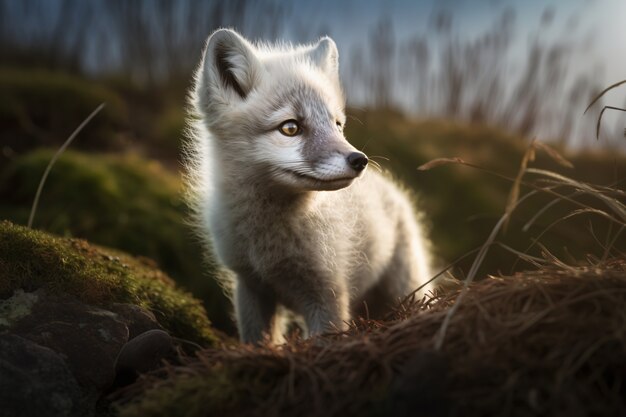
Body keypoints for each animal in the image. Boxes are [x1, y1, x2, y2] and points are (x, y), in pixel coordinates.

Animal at [185, 28, 428, 342]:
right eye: (290, 128)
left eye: (337, 124)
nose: (359, 160)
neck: (268, 246)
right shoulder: (251, 285)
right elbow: (258, 341)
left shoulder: (328, 294)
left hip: (406, 286)